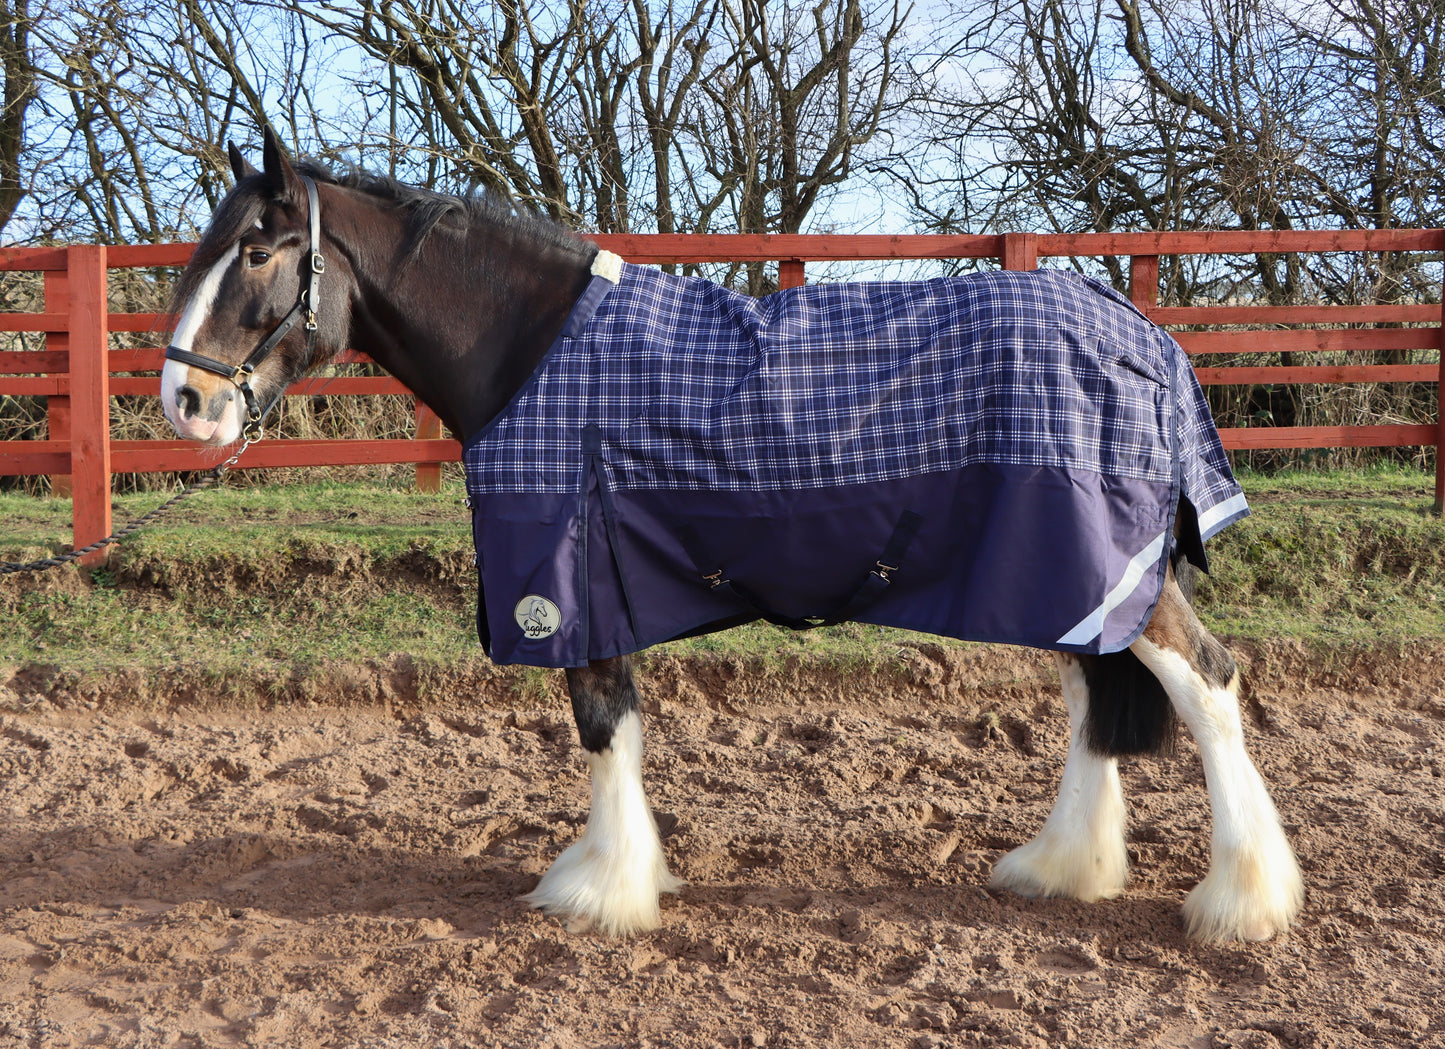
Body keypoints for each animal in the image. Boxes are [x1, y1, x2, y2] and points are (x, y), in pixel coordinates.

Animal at [159, 130, 1303, 943]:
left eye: (257, 250)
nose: (182, 400)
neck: (538, 355)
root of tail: (1140, 331)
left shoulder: (571, 580)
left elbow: (602, 723)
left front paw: (601, 889)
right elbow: (616, 725)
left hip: (1102, 568)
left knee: (1206, 682)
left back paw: (1242, 900)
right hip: (1062, 573)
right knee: (1090, 697)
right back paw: (1060, 867)